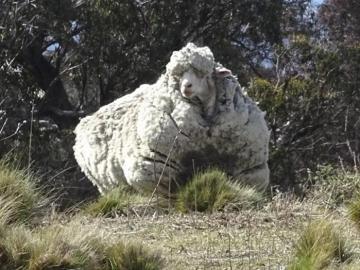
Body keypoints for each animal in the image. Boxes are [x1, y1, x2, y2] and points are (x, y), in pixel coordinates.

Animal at [74, 41, 270, 194]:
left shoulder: (250, 170)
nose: (186, 86)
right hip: (107, 184)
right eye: (178, 75)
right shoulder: (154, 169)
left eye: (203, 73)